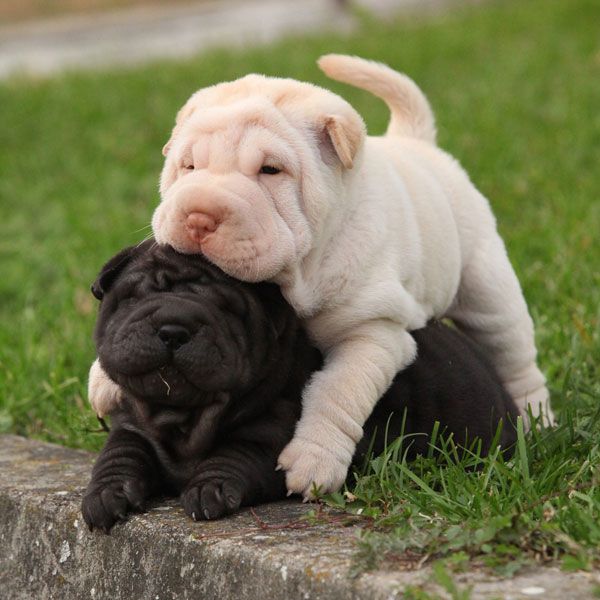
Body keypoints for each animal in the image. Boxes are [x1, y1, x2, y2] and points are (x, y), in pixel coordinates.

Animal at [82, 241, 516, 532]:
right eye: (134, 297)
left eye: (228, 311)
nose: (174, 327)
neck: (183, 418)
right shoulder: (132, 425)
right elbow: (119, 454)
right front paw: (105, 494)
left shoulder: (271, 440)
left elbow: (234, 456)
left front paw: (210, 489)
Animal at [89, 55, 552, 496]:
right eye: (188, 166)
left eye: (271, 170)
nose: (199, 217)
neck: (299, 277)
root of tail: (415, 142)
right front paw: (101, 380)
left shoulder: (373, 332)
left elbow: (337, 390)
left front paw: (313, 463)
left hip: (486, 285)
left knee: (514, 356)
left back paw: (539, 422)